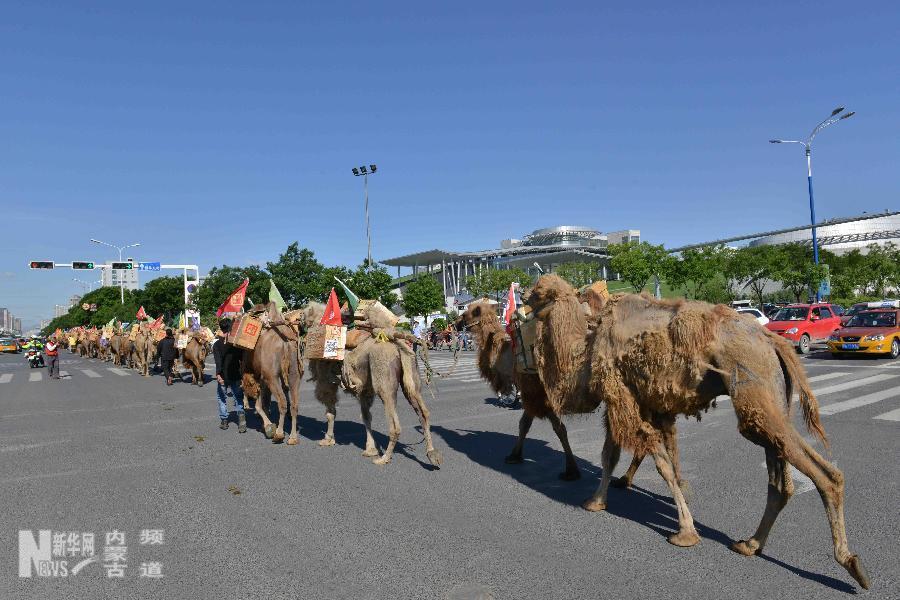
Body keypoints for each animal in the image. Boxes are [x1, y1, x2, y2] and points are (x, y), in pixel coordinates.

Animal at [241, 302, 304, 442]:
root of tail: (286, 343)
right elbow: (265, 402)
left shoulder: (261, 376)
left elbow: (259, 405)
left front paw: (268, 426)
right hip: (294, 374)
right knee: (294, 405)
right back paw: (293, 437)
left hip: (272, 377)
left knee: (282, 402)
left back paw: (279, 434)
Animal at [302, 302, 442, 466]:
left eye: (302, 314)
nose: (293, 318)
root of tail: (397, 346)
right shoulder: (365, 389)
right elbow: (366, 416)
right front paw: (370, 449)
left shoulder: (327, 382)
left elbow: (331, 413)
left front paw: (327, 440)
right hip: (411, 378)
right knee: (423, 412)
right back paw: (432, 454)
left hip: (384, 382)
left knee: (395, 424)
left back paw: (384, 458)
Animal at [524, 276, 868, 592]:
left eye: (538, 292)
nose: (523, 305)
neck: (587, 347)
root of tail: (773, 340)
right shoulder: (634, 401)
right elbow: (614, 454)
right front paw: (596, 501)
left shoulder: (619, 396)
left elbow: (657, 463)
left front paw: (685, 533)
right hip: (768, 402)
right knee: (781, 480)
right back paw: (750, 544)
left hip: (754, 391)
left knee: (825, 475)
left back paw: (850, 563)